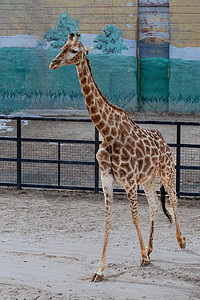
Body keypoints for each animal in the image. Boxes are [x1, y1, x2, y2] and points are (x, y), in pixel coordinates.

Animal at [49, 34, 186, 282]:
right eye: (62, 47)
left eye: (74, 51)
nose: (53, 62)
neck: (107, 132)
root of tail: (167, 145)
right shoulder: (107, 178)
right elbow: (108, 219)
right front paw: (100, 269)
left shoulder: (129, 180)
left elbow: (134, 217)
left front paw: (142, 256)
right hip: (148, 179)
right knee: (154, 206)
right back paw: (151, 248)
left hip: (167, 172)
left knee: (173, 199)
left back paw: (181, 241)